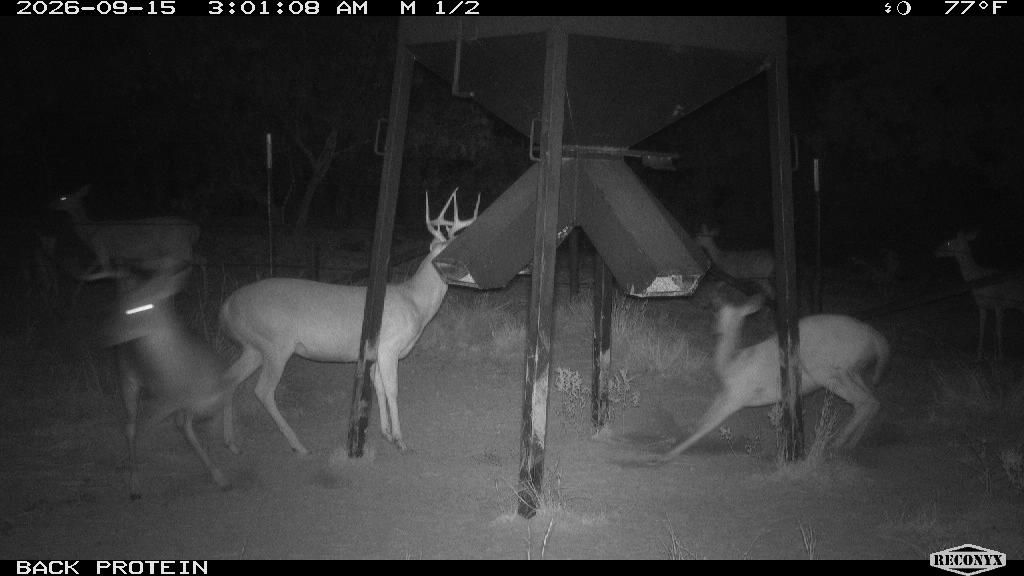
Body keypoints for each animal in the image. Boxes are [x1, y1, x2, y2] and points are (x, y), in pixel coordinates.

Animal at [50, 185, 200, 280]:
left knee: (193, 263)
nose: (51, 204)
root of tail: (194, 228)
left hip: (178, 247)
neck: (90, 232)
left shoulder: (102, 250)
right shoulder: (119, 256)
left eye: (63, 197)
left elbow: (107, 272)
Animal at [105, 266, 238, 499]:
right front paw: (220, 476)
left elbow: (216, 417)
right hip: (127, 380)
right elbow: (187, 430)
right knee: (131, 427)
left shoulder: (215, 389)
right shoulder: (176, 402)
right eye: (125, 304)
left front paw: (227, 450)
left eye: (141, 306)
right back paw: (133, 482)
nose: (109, 333)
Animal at [219, 189, 478, 455]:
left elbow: (378, 388)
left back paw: (232, 443)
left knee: (228, 379)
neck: (415, 302)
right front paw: (400, 439)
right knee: (263, 390)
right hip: (275, 345)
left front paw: (385, 433)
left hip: (253, 347)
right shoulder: (389, 346)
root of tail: (226, 307)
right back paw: (298, 445)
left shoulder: (376, 351)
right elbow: (392, 390)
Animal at [657, 293, 888, 462]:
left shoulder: (736, 398)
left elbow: (704, 425)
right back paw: (849, 445)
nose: (714, 330)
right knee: (873, 401)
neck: (731, 365)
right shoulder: (724, 395)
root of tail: (877, 340)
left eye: (718, 314)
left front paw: (666, 455)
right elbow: (699, 420)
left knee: (864, 402)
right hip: (853, 372)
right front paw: (668, 443)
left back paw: (835, 444)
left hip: (830, 372)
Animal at [935, 230, 1024, 361]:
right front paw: (979, 355)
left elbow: (999, 331)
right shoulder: (981, 305)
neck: (979, 279)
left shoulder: (999, 303)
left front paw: (1000, 357)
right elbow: (981, 330)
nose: (936, 251)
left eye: (948, 242)